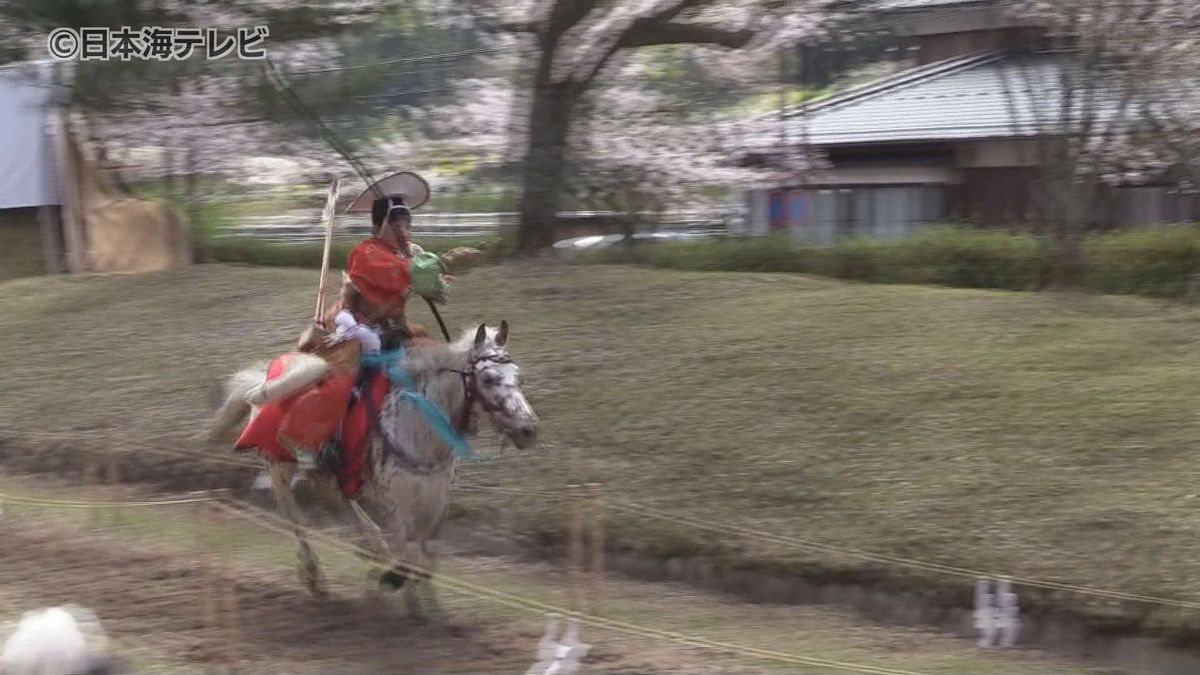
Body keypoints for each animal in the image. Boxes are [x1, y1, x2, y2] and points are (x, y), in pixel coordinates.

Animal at [210, 319, 540, 614]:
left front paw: (425, 603)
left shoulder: (437, 500)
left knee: (340, 504)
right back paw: (316, 575)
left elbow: (427, 556)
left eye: (518, 376)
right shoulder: (398, 504)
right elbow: (409, 553)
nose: (529, 430)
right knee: (295, 518)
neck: (420, 426)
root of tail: (264, 380)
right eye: (489, 379)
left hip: (329, 476)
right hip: (278, 466)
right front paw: (396, 586)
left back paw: (369, 549)